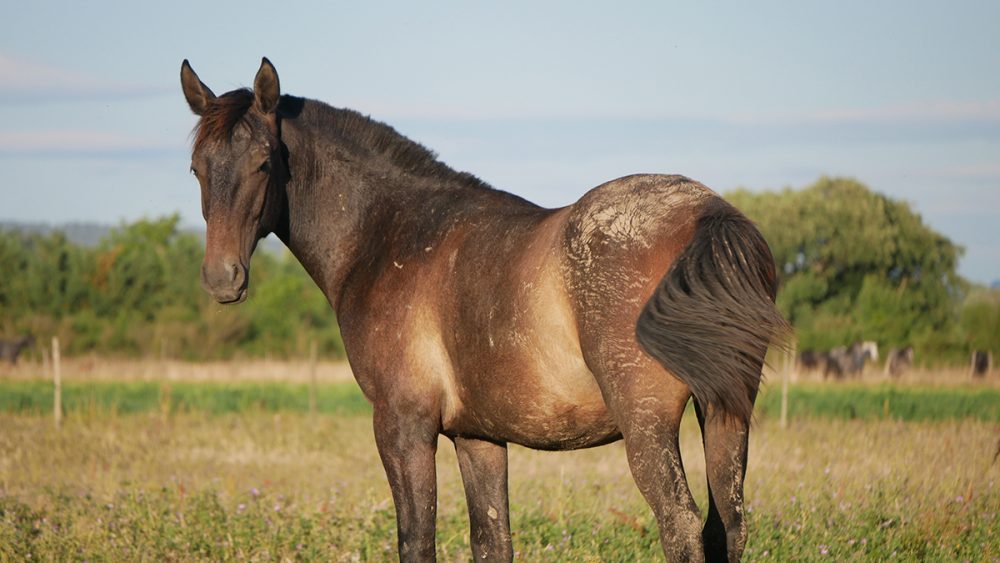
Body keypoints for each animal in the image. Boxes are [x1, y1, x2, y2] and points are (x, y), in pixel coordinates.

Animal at [181, 57, 790, 562]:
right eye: (196, 169)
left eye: (264, 163)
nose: (221, 278)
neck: (391, 235)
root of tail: (708, 212)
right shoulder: (478, 437)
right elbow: (492, 540)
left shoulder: (403, 426)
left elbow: (416, 540)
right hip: (726, 414)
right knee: (728, 526)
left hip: (648, 426)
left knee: (682, 526)